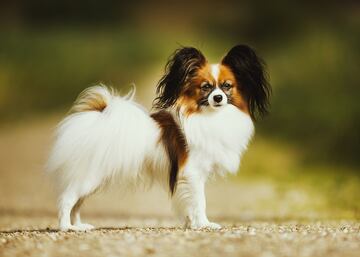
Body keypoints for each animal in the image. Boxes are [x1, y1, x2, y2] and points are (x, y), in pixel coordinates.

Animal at [46, 44, 270, 230]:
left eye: (227, 86)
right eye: (206, 87)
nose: (218, 98)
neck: (210, 117)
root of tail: (96, 118)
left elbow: (189, 204)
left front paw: (191, 224)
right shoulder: (193, 173)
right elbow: (200, 201)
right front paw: (204, 224)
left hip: (92, 178)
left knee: (77, 203)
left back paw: (79, 226)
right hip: (88, 177)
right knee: (67, 200)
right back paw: (66, 228)